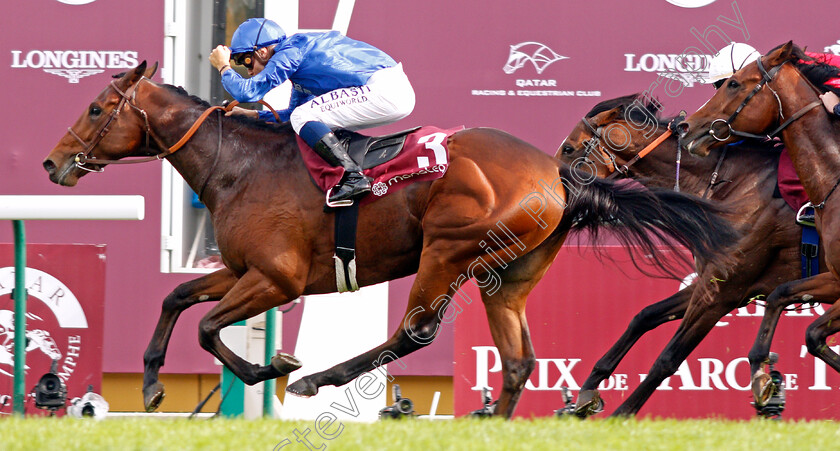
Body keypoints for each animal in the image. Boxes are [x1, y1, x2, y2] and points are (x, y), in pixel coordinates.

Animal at [44, 61, 736, 418]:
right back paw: (492, 420)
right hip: (507, 277)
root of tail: (557, 174)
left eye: (98, 108)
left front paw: (275, 366)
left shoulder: (276, 279)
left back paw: (318, 380)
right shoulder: (242, 269)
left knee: (413, 333)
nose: (53, 164)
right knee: (518, 361)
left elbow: (209, 328)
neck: (238, 163)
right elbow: (177, 298)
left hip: (448, 251)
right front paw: (153, 384)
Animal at [556, 93, 812, 418]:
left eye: (568, 148)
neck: (733, 185)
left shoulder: (723, 293)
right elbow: (644, 316)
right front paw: (588, 391)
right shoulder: (710, 282)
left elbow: (668, 358)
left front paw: (621, 415)